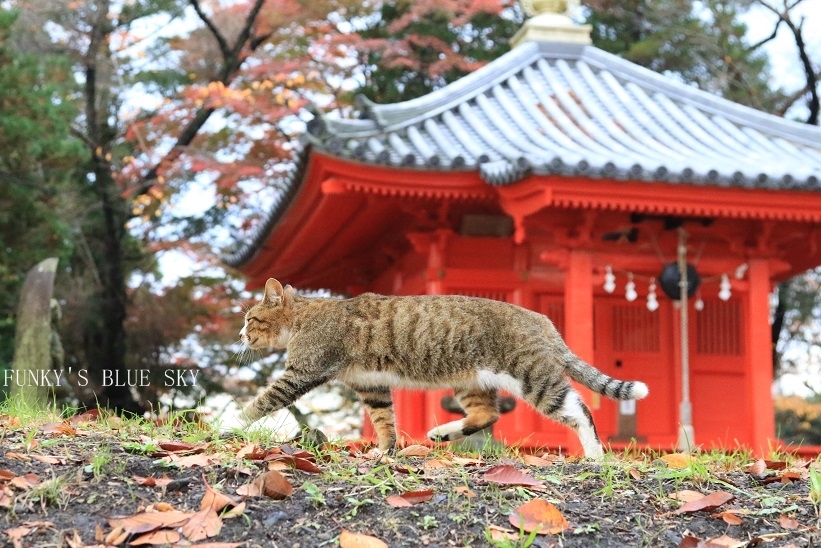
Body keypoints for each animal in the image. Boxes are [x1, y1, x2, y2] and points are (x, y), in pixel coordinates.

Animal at [237, 278, 648, 458]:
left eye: (250, 318)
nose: (240, 334)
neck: (305, 315)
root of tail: (544, 320)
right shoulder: (371, 386)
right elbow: (385, 423)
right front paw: (384, 452)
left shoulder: (304, 370)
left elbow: (259, 403)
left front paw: (228, 423)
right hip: (471, 381)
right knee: (487, 413)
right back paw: (441, 434)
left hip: (532, 376)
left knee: (579, 409)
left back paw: (595, 455)